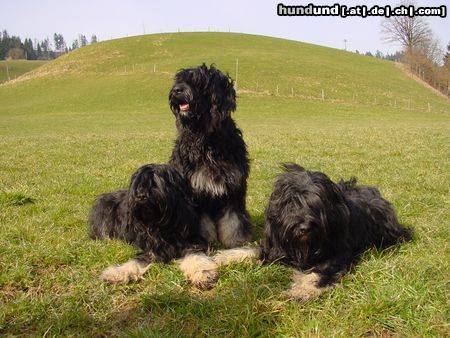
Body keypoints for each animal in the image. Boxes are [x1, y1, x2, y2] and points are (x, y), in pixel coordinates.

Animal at [88, 164, 218, 288]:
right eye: (138, 185)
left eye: (156, 183)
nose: (140, 196)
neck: (164, 226)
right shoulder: (151, 248)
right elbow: (136, 261)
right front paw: (117, 273)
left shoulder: (192, 240)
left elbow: (195, 255)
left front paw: (202, 273)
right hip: (104, 208)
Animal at [213, 163, 414, 298]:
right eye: (291, 204)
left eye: (316, 206)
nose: (304, 228)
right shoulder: (275, 247)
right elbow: (250, 251)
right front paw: (222, 258)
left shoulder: (337, 255)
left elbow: (320, 272)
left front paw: (301, 290)